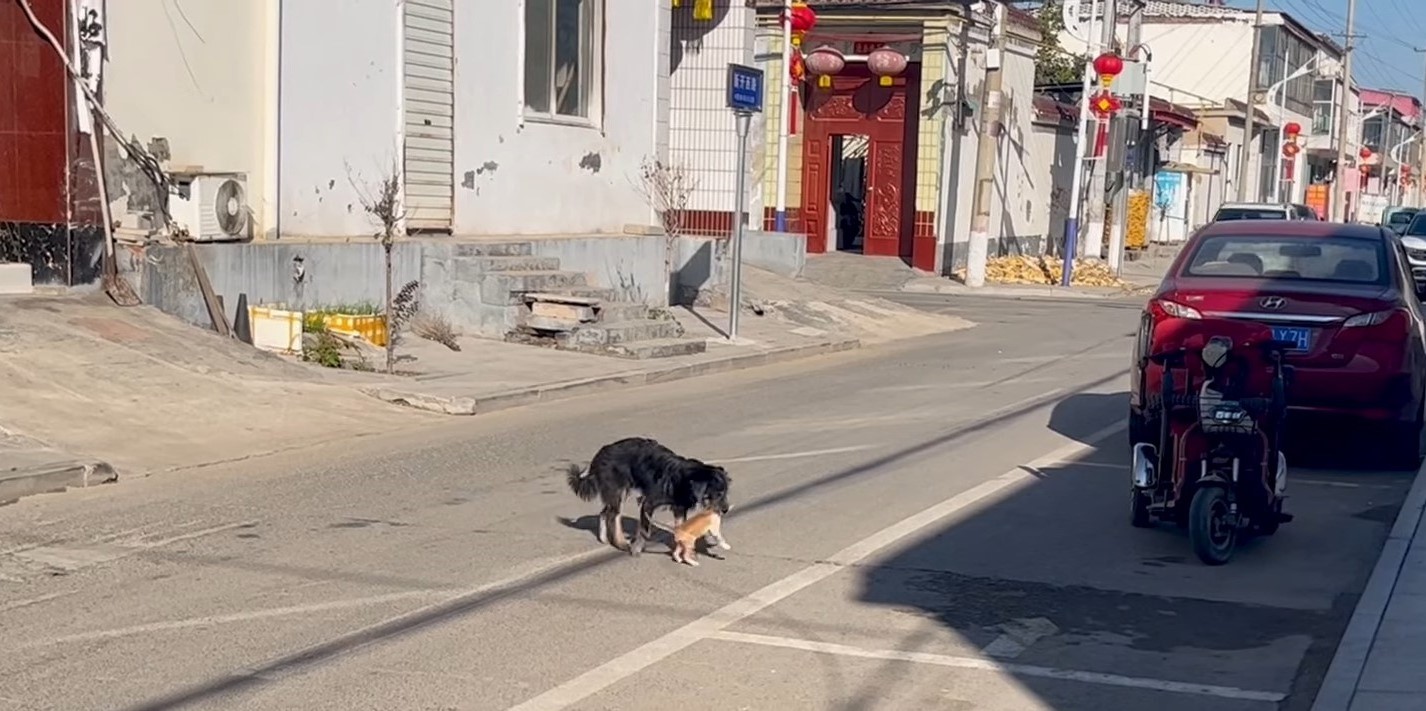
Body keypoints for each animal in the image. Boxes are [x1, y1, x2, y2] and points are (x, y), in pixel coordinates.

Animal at [561, 438, 730, 555]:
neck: (683, 479)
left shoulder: (679, 508)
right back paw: (621, 543)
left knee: (605, 512)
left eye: (726, 492)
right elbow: (644, 530)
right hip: (619, 491)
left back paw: (604, 538)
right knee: (613, 516)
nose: (726, 510)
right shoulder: (648, 503)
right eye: (718, 493)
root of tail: (601, 453)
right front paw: (636, 549)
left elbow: (681, 528)